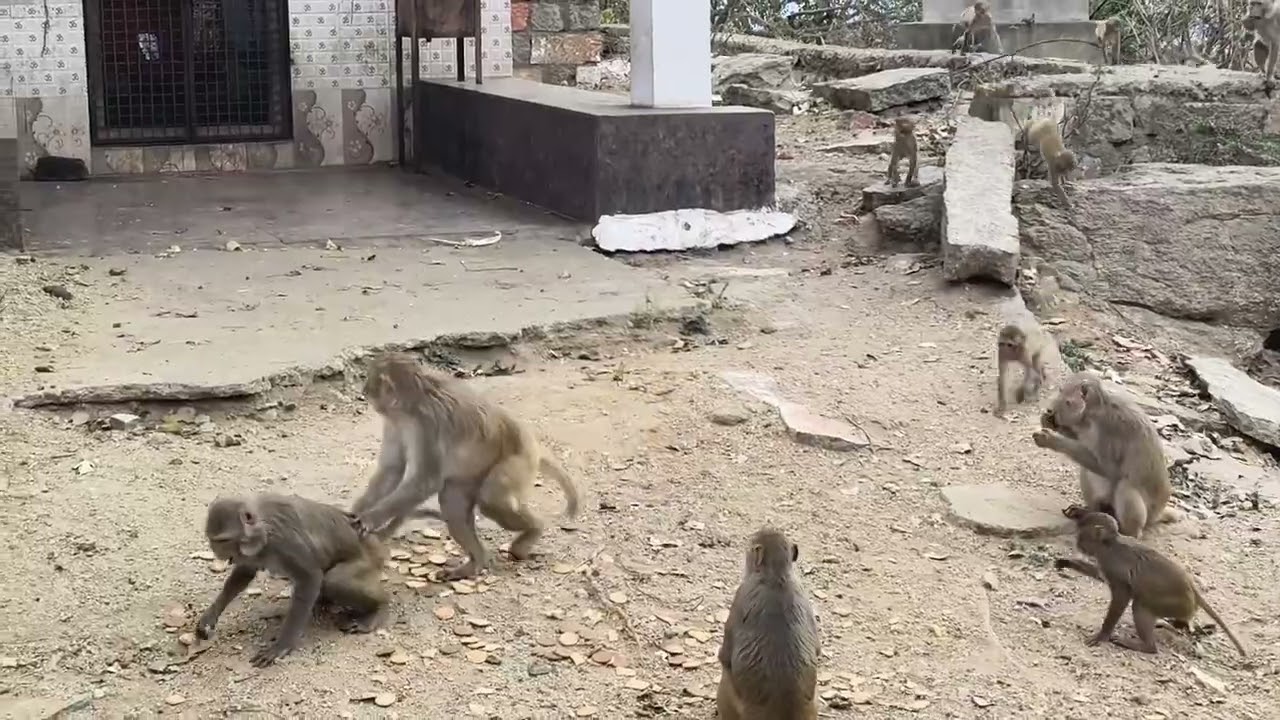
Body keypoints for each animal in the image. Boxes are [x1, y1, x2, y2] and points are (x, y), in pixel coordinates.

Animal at [196, 494, 389, 667]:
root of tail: (376, 544)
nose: (216, 551)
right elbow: (244, 572)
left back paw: (379, 608)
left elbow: (310, 577)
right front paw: (209, 617)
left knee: (334, 581)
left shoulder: (285, 541)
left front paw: (282, 645)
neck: (262, 527)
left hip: (369, 562)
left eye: (223, 540)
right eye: (213, 540)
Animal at [348, 352, 580, 580]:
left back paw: (534, 529)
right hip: (474, 473)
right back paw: (475, 563)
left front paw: (368, 519)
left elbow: (425, 480)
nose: (363, 391)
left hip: (519, 461)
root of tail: (532, 443)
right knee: (453, 502)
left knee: (492, 499)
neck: (411, 402)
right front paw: (355, 512)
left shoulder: (426, 424)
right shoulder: (395, 421)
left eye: (370, 381)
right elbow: (392, 469)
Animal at [1033, 372, 1172, 540]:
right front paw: (1048, 422)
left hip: (1148, 513)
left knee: (1125, 485)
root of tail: (1158, 514)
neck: (1092, 413)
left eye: (1064, 397)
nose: (1050, 408)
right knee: (1086, 471)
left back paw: (1126, 532)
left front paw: (1051, 439)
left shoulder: (1109, 429)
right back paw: (1090, 511)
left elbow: (1109, 469)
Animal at [1053, 506, 1248, 657]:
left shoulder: (1112, 563)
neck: (1109, 544)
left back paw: (1147, 646)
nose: (1077, 543)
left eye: (1082, 535)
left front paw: (1103, 634)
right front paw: (1066, 562)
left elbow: (1122, 595)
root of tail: (1193, 590)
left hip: (1174, 603)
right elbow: (1099, 575)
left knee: (1140, 605)